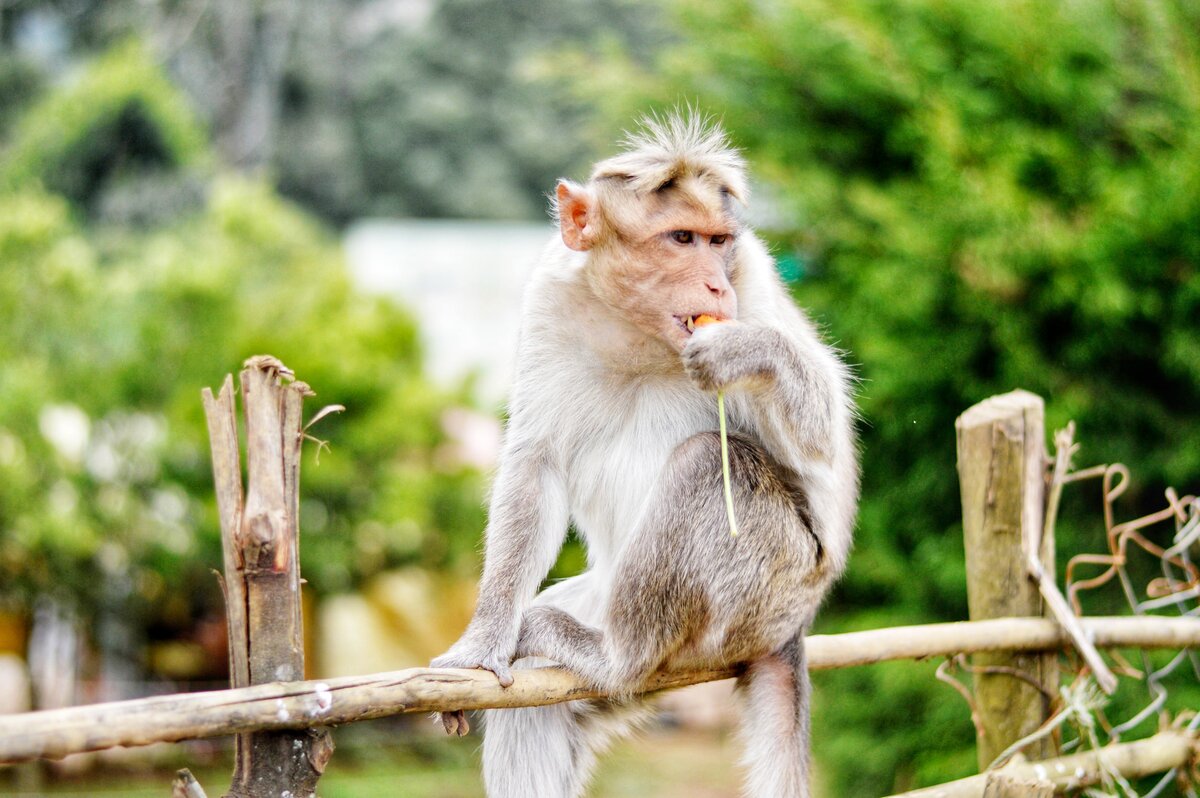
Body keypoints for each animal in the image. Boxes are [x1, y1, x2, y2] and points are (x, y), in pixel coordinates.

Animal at [427, 112, 859, 796]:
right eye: (681, 238)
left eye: (717, 241)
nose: (714, 285)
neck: (637, 329)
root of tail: (795, 624)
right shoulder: (551, 296)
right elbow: (535, 464)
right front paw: (482, 639)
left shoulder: (754, 278)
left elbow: (823, 448)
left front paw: (746, 350)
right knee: (534, 706)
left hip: (769, 593)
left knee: (706, 463)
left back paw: (617, 658)